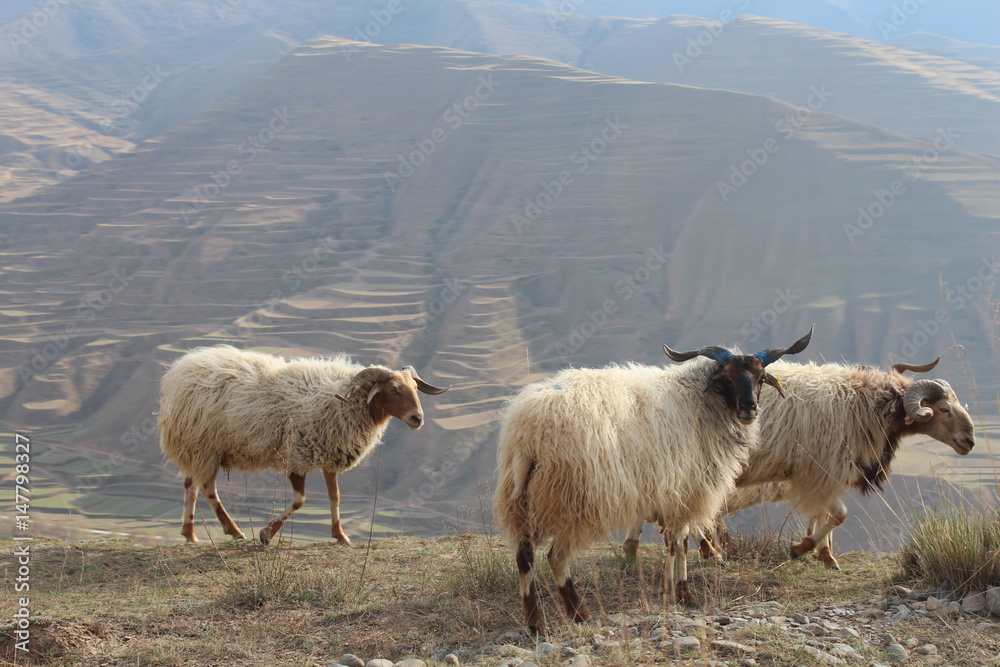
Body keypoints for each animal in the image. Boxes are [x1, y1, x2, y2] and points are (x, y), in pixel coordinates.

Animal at [158, 345, 448, 545]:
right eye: (393, 390)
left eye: (414, 388)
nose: (418, 418)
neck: (343, 403)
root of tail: (180, 371)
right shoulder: (296, 458)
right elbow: (300, 500)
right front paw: (266, 533)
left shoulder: (331, 454)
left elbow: (334, 496)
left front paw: (340, 535)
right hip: (205, 446)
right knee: (207, 488)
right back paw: (234, 531)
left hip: (196, 448)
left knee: (190, 484)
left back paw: (190, 533)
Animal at [493, 328, 813, 633]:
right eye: (727, 377)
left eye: (760, 377)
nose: (749, 409)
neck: (700, 401)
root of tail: (531, 432)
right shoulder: (686, 489)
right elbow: (679, 542)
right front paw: (681, 593)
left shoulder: (673, 493)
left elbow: (678, 541)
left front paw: (678, 589)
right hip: (572, 501)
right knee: (556, 557)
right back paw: (579, 614)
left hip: (520, 500)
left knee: (524, 556)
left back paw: (535, 623)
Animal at [623, 357, 975, 570]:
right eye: (943, 409)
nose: (970, 440)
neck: (864, 403)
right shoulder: (822, 471)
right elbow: (838, 515)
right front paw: (805, 548)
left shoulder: (824, 474)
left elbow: (826, 515)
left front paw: (824, 554)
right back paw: (709, 552)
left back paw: (636, 549)